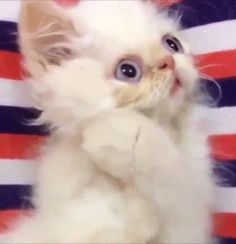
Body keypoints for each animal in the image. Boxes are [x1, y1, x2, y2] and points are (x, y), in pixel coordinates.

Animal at [0, 0, 213, 243]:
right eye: (128, 71)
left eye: (172, 44)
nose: (169, 61)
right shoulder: (78, 222)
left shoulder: (190, 215)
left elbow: (173, 177)